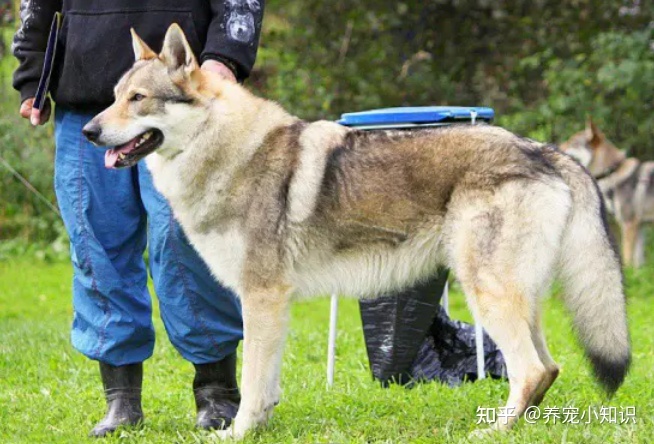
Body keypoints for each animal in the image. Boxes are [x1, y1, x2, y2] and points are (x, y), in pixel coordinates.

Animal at [82, 26, 632, 438]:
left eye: (138, 99)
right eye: (113, 98)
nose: (87, 131)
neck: (226, 151)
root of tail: (542, 150)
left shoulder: (262, 297)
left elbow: (254, 383)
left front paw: (237, 432)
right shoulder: (269, 305)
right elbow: (267, 385)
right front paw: (259, 426)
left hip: (488, 294)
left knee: (532, 369)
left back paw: (492, 430)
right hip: (515, 298)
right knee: (549, 368)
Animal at [564, 119, 654, 268]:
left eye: (573, 143)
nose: (553, 146)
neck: (612, 172)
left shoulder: (629, 225)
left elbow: (628, 259)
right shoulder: (639, 226)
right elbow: (638, 263)